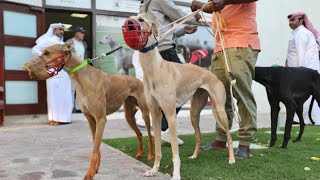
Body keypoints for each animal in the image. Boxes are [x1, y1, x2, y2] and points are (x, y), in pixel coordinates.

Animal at [124, 15, 236, 180]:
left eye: (141, 19)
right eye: (130, 18)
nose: (129, 24)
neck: (154, 69)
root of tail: (211, 74)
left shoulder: (170, 115)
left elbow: (175, 152)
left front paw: (176, 174)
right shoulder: (155, 114)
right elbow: (157, 149)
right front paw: (154, 169)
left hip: (219, 110)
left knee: (229, 135)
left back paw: (232, 159)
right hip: (194, 112)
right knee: (198, 135)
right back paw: (194, 156)